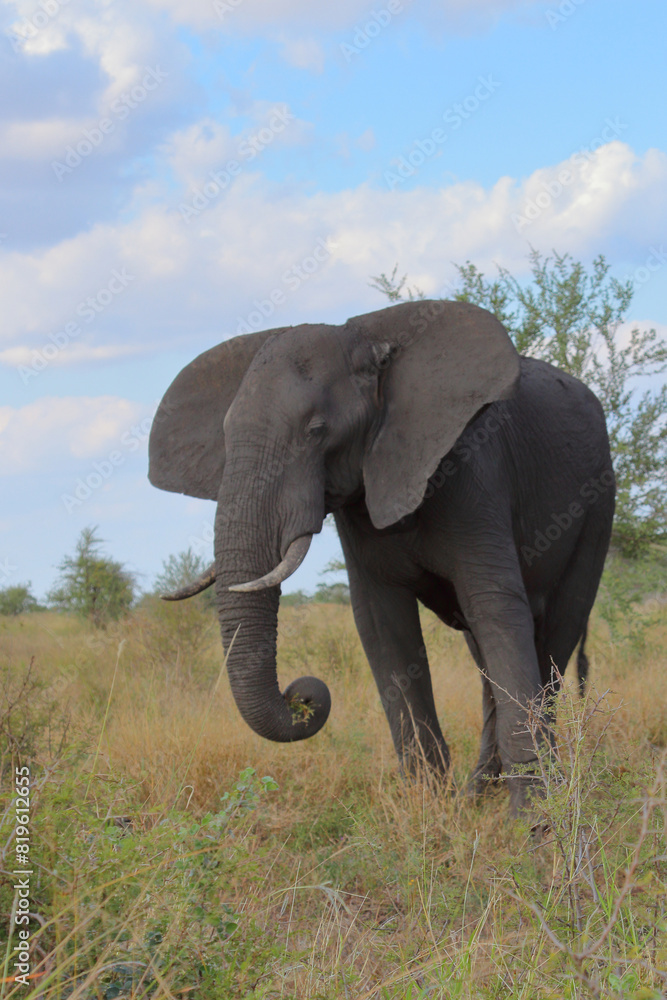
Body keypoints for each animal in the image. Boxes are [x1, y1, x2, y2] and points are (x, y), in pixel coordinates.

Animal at [149, 299, 615, 815]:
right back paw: (477, 794)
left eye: (316, 431)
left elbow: (495, 609)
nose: (301, 694)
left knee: (554, 636)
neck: (369, 339)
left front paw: (532, 823)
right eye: (226, 438)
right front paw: (430, 808)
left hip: (598, 502)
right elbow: (382, 625)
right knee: (485, 655)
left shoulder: (472, 466)